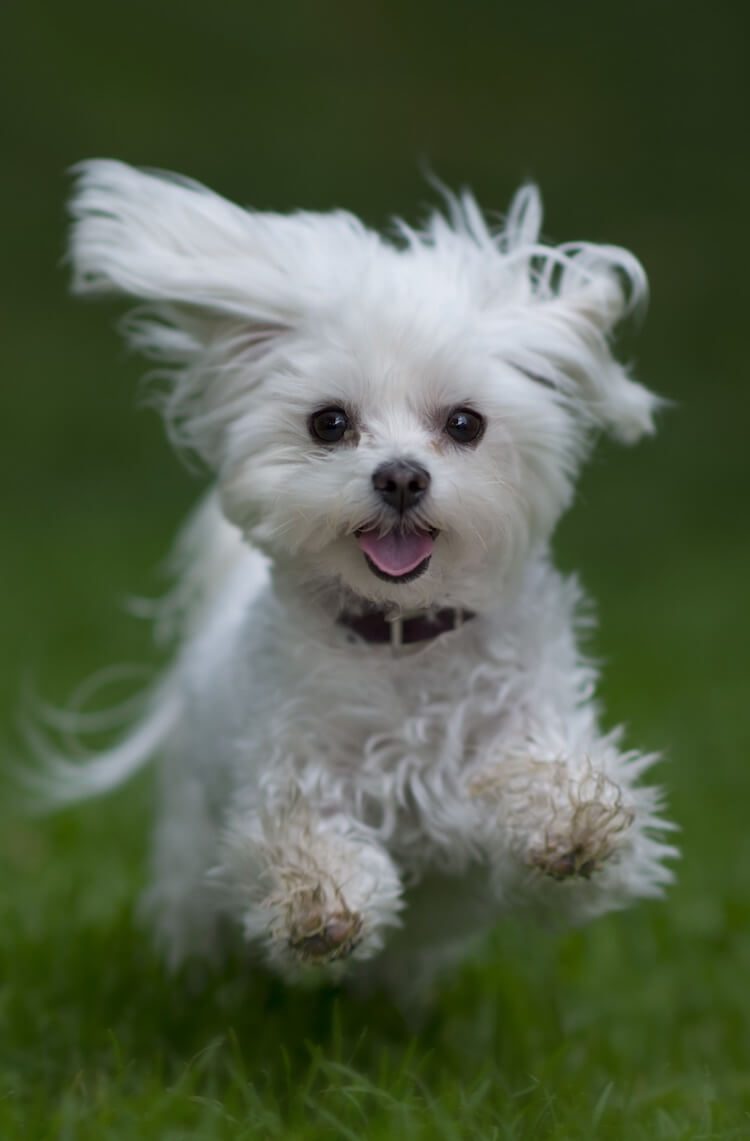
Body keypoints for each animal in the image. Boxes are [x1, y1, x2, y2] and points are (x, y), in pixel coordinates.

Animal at [36, 163, 680, 999]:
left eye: (465, 423)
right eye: (329, 423)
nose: (401, 475)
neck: (403, 641)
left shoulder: (544, 781)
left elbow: (561, 807)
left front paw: (567, 819)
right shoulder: (284, 772)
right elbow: (296, 832)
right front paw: (320, 904)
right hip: (188, 872)